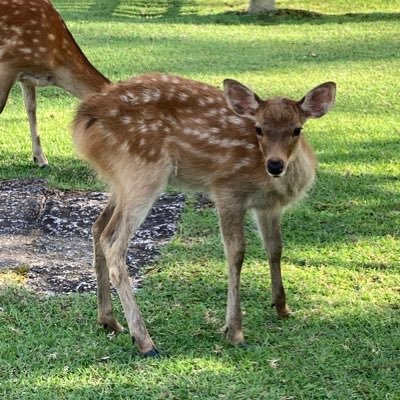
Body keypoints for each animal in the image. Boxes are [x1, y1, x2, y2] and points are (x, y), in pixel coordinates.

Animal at [72, 72, 338, 356]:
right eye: (259, 129)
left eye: (297, 129)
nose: (275, 165)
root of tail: (82, 118)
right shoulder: (227, 191)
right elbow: (236, 254)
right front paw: (234, 331)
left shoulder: (268, 207)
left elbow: (275, 248)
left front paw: (282, 307)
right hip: (143, 171)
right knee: (113, 242)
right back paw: (145, 341)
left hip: (121, 181)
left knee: (98, 227)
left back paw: (109, 321)